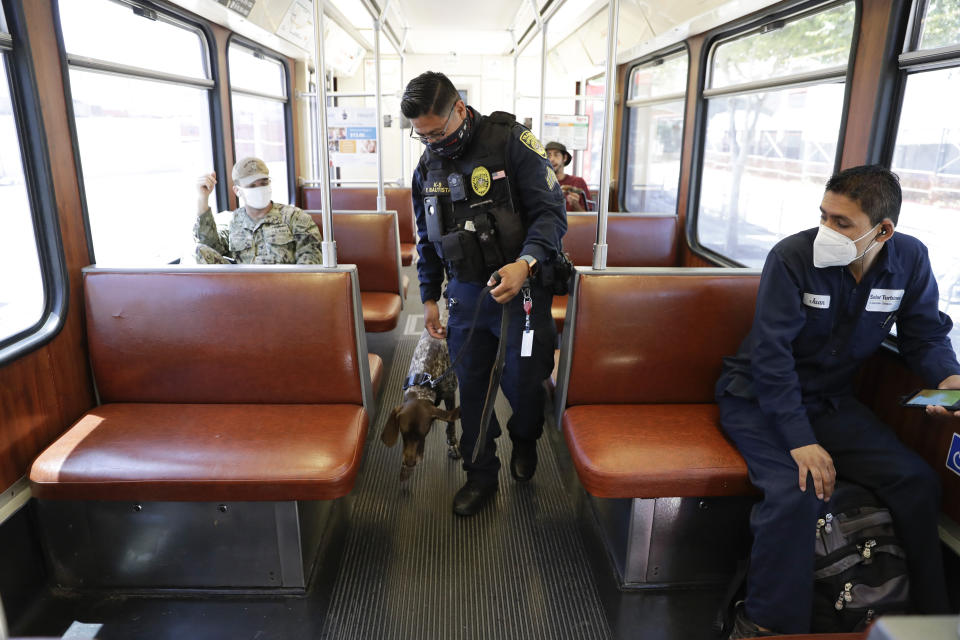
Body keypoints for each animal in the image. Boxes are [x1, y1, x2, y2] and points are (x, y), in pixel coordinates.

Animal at [380, 330, 460, 480]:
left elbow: (451, 424)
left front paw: (453, 445)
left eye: (423, 433)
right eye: (403, 433)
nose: (409, 463)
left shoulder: (450, 394)